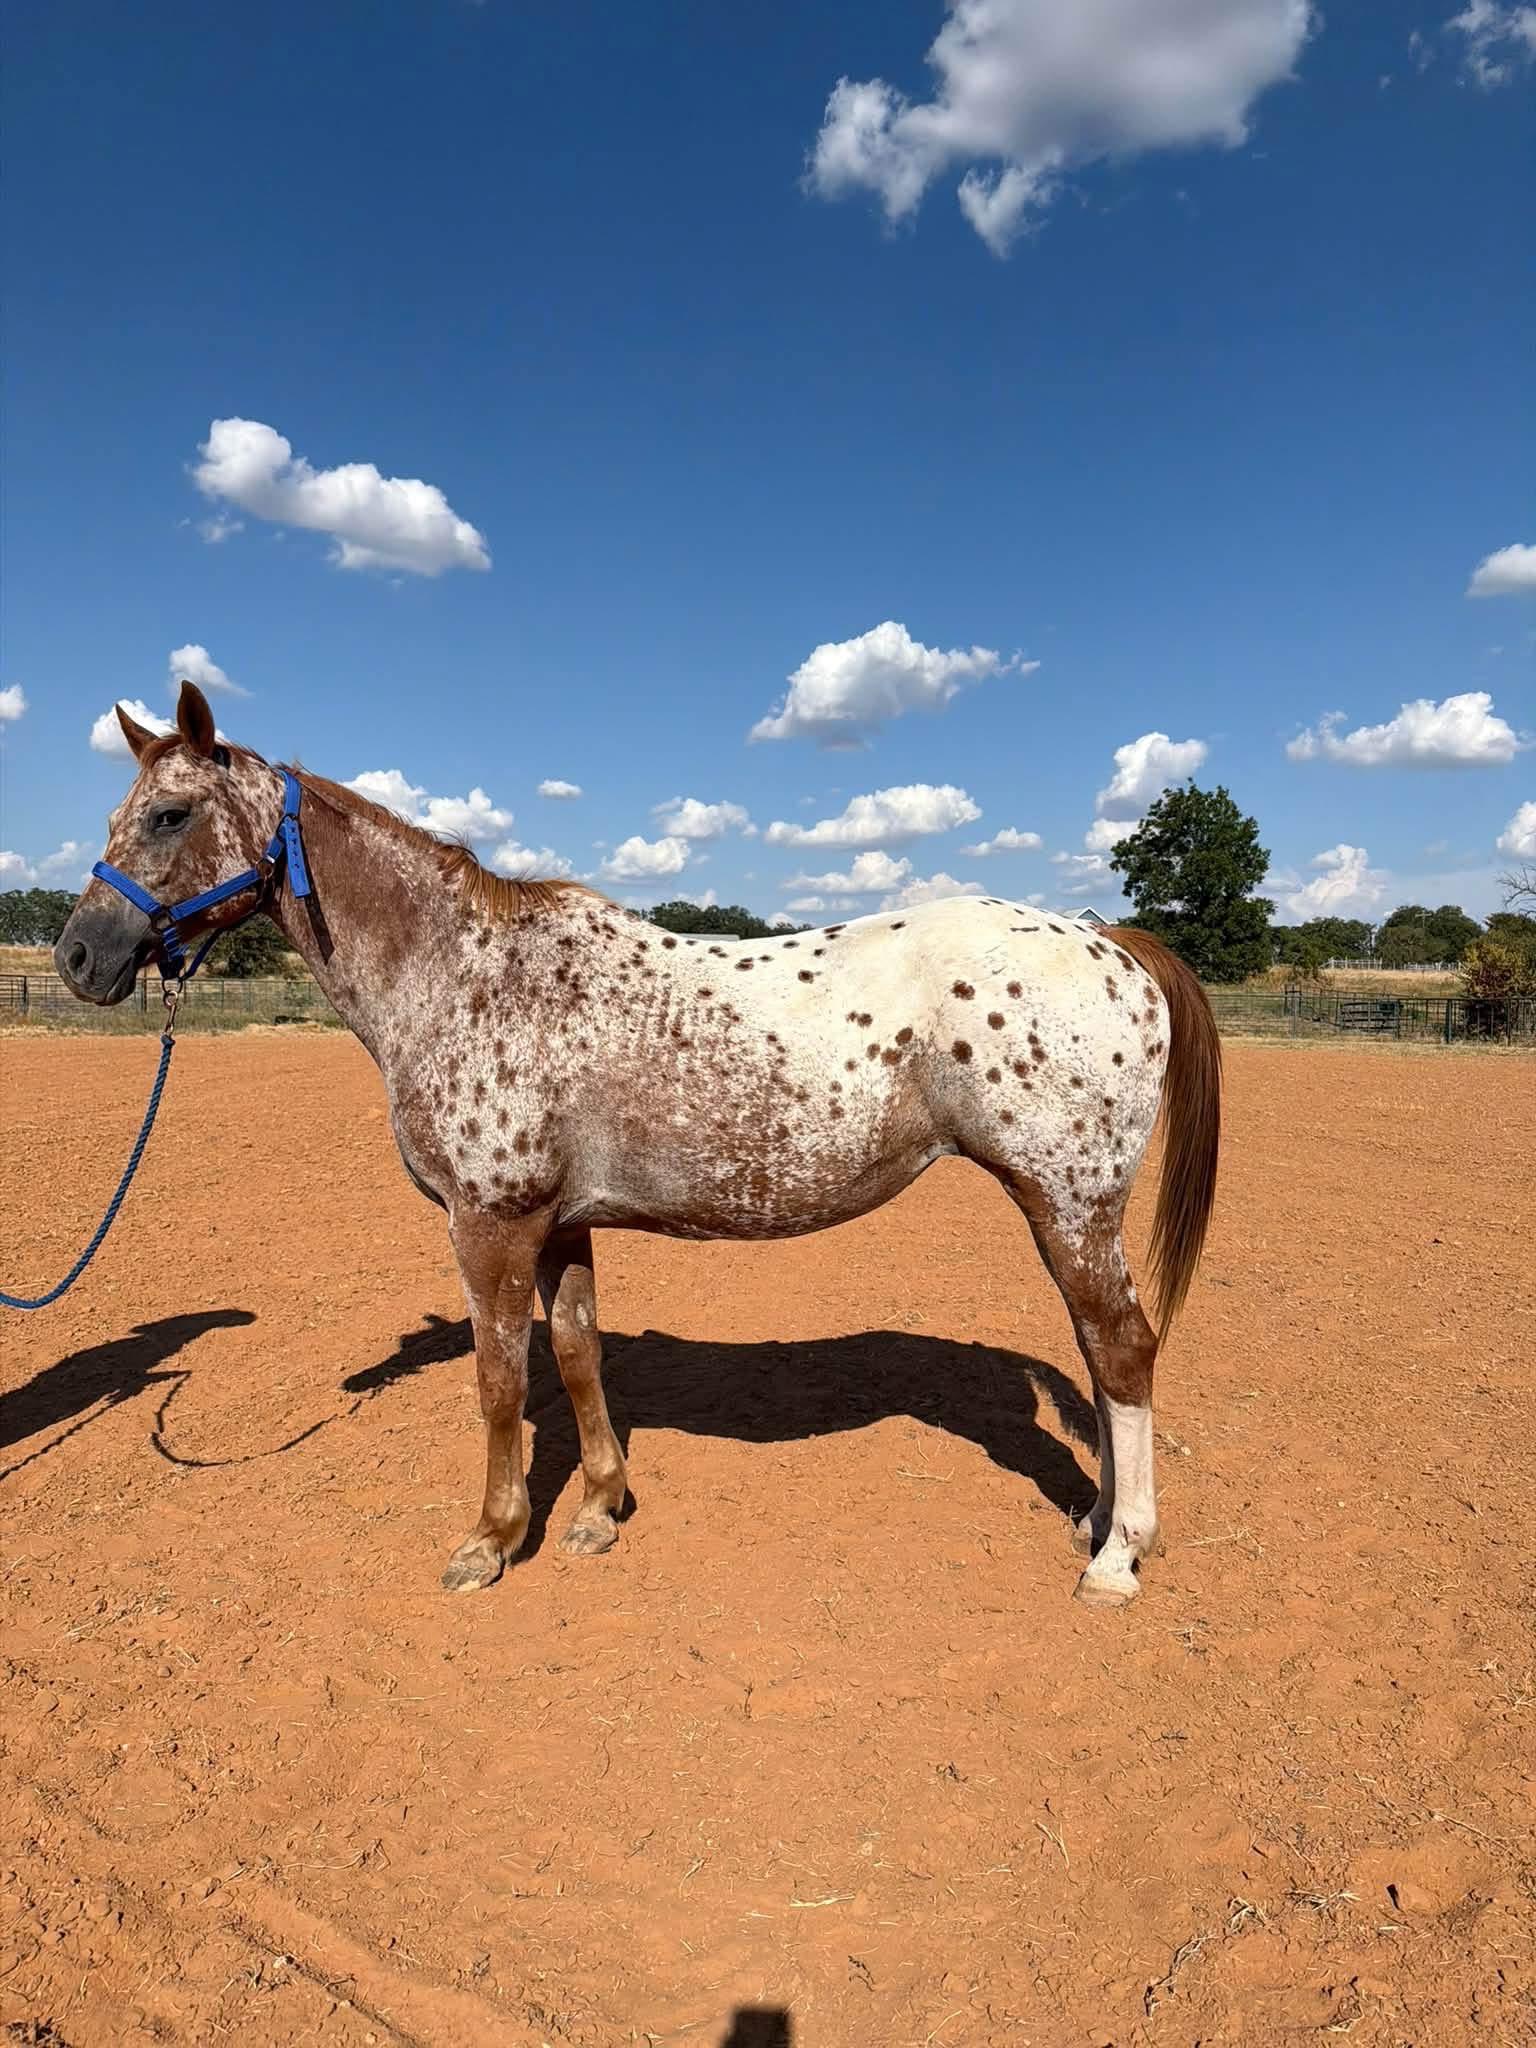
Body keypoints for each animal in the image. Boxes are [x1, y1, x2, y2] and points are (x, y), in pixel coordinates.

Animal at [55, 681, 1220, 1607]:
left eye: (168, 814)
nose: (78, 957)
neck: (466, 973)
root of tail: (1112, 943)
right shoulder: (561, 1223)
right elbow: (576, 1352)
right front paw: (597, 1509)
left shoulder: (491, 1225)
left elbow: (499, 1375)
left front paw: (491, 1539)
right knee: (1101, 1354)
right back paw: (1096, 1521)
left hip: (1069, 1204)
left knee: (1123, 1348)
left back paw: (1118, 1556)